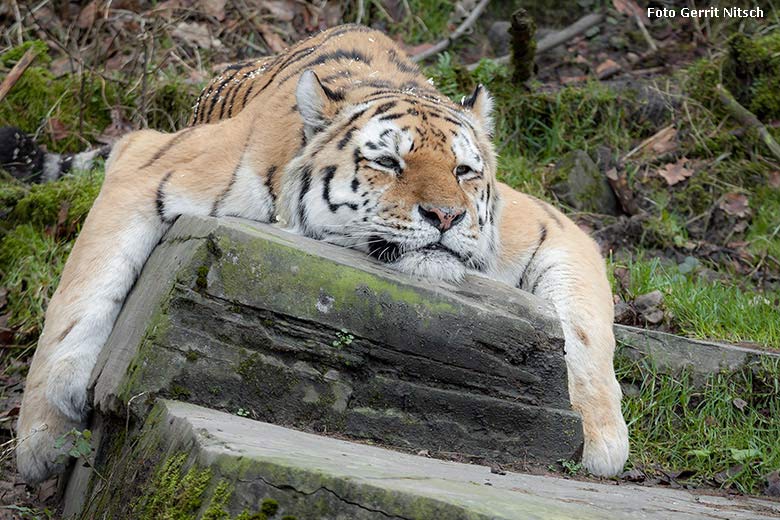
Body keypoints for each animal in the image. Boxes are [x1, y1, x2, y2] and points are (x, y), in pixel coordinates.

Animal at [15, 23, 632, 480]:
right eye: (388, 162)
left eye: (463, 171)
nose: (446, 216)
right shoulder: (146, 160)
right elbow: (78, 296)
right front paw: (41, 442)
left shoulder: (559, 228)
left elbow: (585, 334)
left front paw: (600, 437)